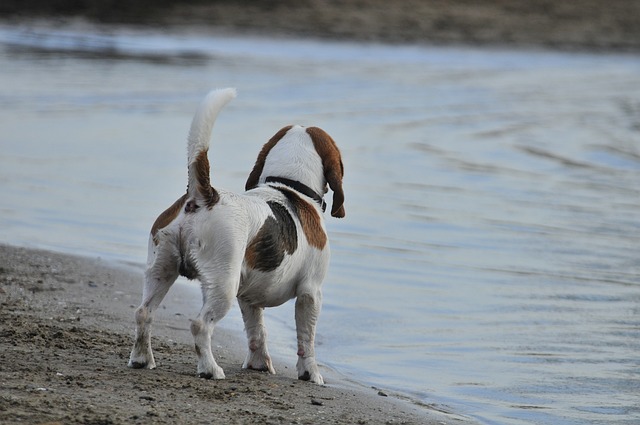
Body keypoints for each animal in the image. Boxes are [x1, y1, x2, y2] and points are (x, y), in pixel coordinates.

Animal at [126, 87, 344, 384]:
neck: (290, 186)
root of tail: (204, 196)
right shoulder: (311, 293)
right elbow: (306, 340)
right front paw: (311, 374)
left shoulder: (249, 298)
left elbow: (257, 332)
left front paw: (258, 364)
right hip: (222, 285)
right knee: (200, 326)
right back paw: (210, 369)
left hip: (161, 270)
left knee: (143, 313)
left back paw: (141, 359)